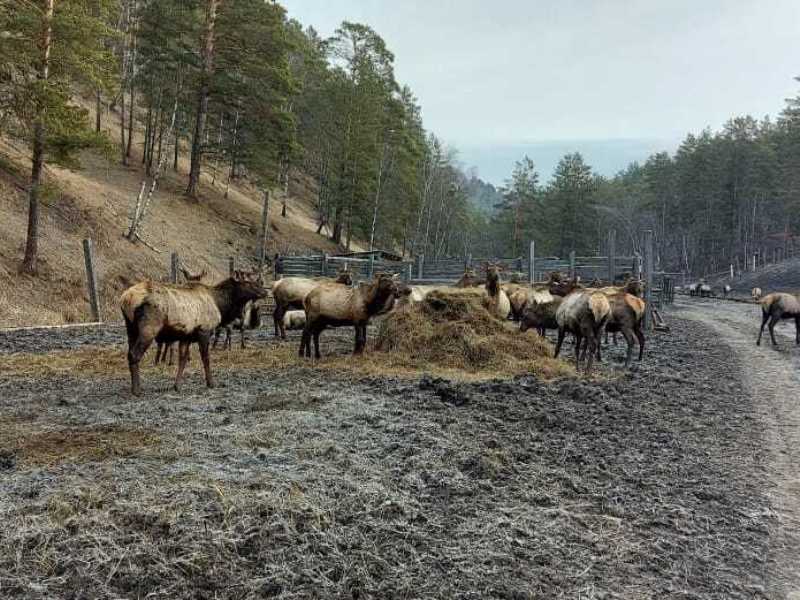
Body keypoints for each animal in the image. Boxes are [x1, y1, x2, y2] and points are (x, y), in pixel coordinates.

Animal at [120, 274, 268, 396]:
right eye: (248, 283)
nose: (265, 291)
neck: (220, 305)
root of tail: (126, 299)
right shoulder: (204, 330)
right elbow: (206, 358)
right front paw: (211, 383)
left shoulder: (186, 336)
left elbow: (183, 359)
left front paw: (177, 386)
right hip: (149, 327)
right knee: (134, 354)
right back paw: (136, 390)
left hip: (130, 328)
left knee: (129, 352)